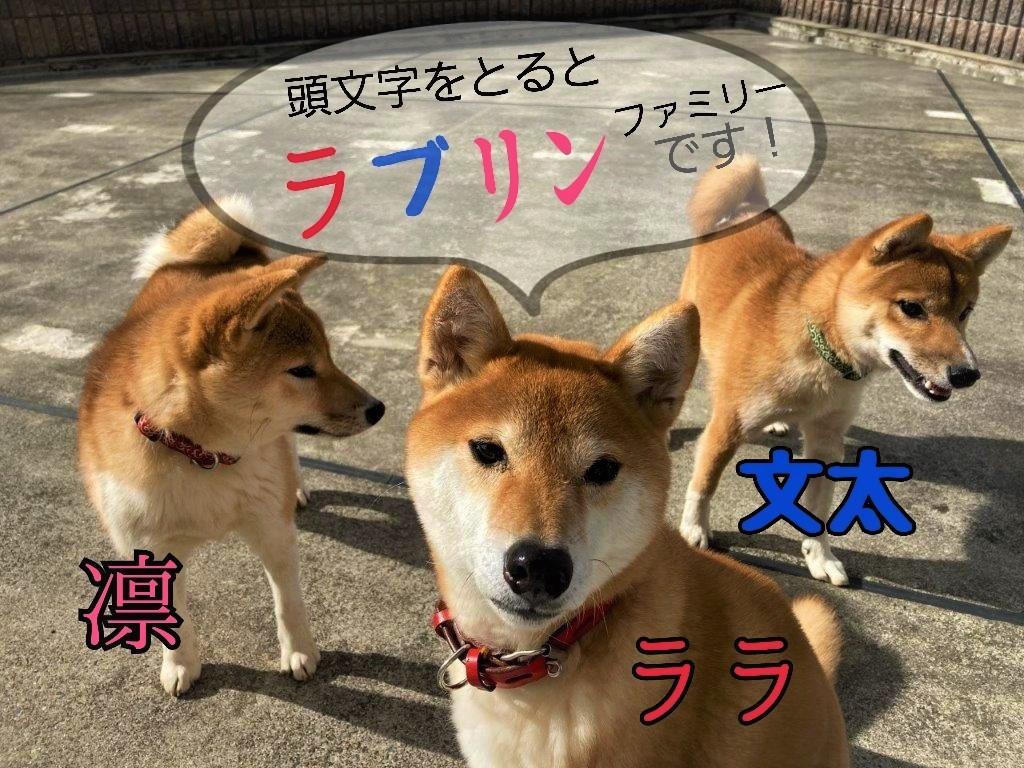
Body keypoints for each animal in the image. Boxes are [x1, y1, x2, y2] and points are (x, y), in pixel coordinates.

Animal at [77, 198, 384, 696]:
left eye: (331, 358)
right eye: (302, 369)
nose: (378, 408)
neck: (202, 455)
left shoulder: (271, 527)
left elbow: (287, 600)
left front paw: (299, 652)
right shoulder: (149, 547)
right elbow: (174, 616)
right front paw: (180, 663)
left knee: (289, 450)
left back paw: (297, 488)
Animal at [677, 157, 1012, 585]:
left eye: (965, 313)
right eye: (911, 308)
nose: (967, 374)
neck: (824, 357)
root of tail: (747, 206)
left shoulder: (826, 439)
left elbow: (818, 511)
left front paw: (820, 555)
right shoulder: (727, 425)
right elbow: (704, 482)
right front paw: (694, 528)